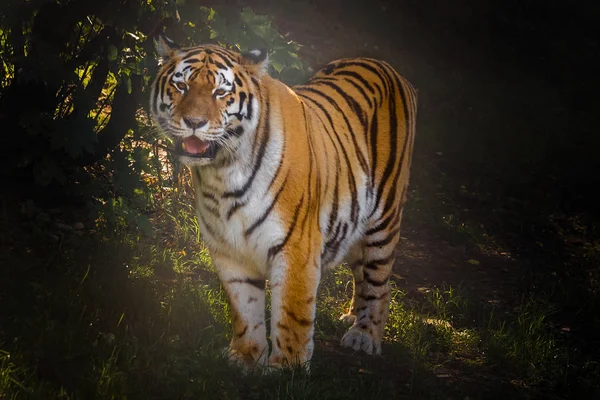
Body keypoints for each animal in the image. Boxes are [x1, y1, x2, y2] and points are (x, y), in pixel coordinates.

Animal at [150, 36, 418, 370]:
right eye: (181, 86)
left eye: (220, 92)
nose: (194, 122)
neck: (222, 173)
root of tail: (388, 67)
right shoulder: (228, 249)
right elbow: (245, 308)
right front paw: (246, 357)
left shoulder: (296, 246)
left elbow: (292, 312)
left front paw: (287, 368)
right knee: (362, 273)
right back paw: (352, 317)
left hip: (383, 220)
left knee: (380, 281)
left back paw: (365, 335)